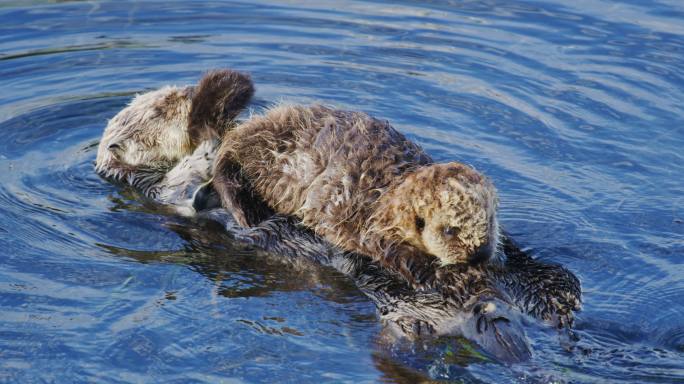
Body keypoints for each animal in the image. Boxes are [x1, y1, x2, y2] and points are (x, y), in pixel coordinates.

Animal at [214, 105, 502, 292]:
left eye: (489, 221)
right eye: (449, 231)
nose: (479, 254)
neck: (392, 194)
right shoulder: (370, 227)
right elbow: (397, 255)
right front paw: (444, 276)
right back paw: (247, 210)